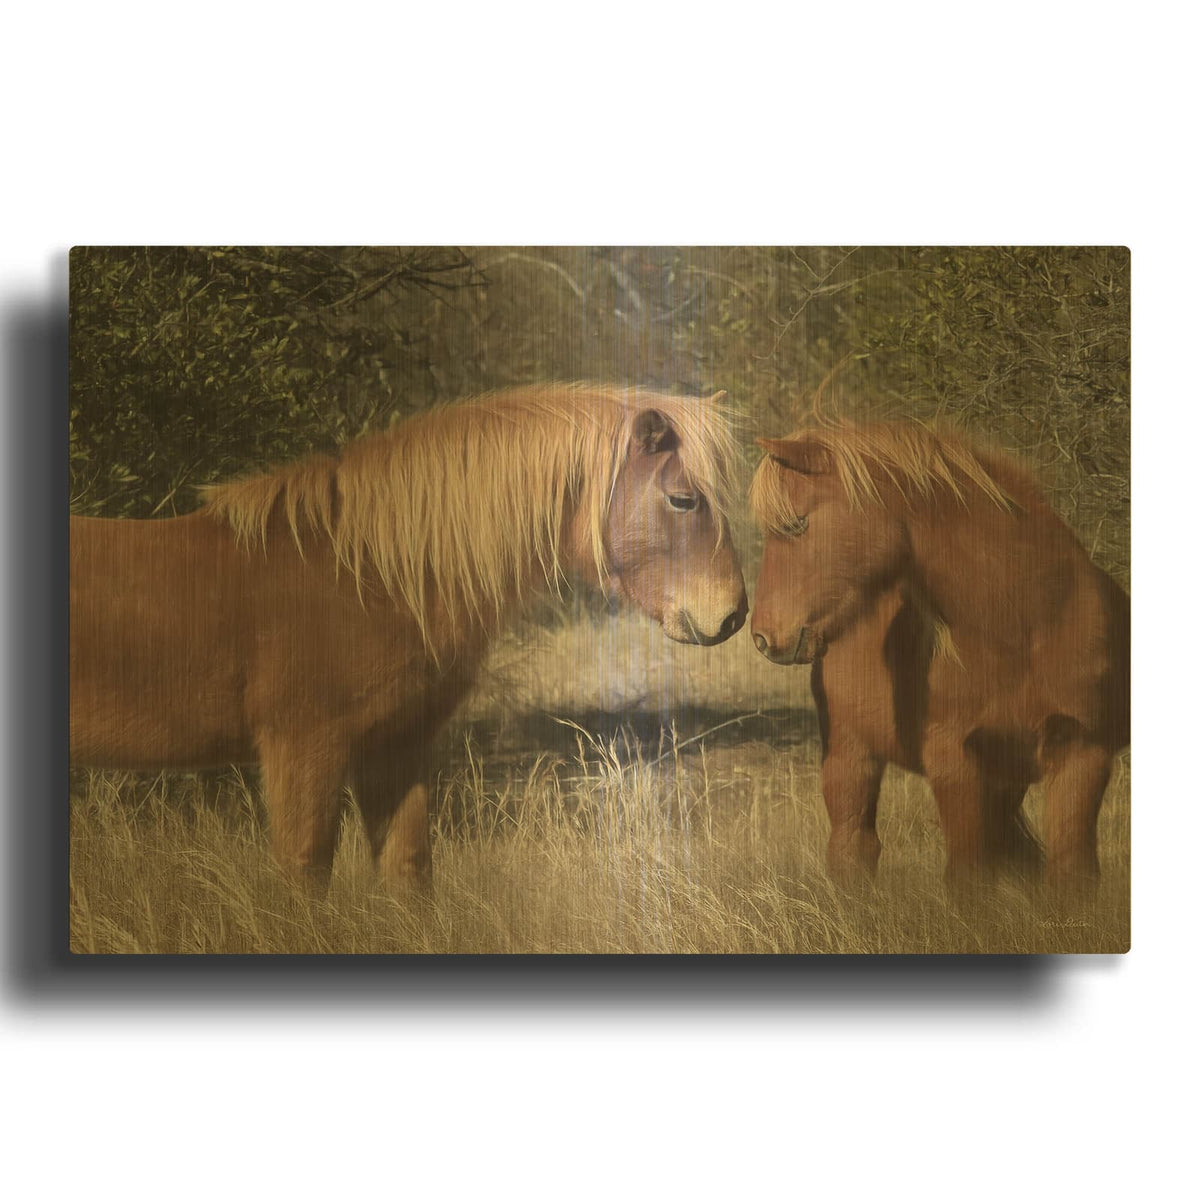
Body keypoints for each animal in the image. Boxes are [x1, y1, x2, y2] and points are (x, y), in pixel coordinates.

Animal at [70, 383, 748, 888]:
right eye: (682, 500)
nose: (734, 615)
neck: (366, 577)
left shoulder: (395, 748)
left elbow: (409, 870)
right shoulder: (303, 750)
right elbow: (304, 874)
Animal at [747, 420, 1129, 886]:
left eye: (797, 524)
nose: (764, 637)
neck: (1029, 624)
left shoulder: (1082, 752)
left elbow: (1072, 873)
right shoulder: (953, 759)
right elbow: (968, 877)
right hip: (850, 755)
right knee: (853, 849)